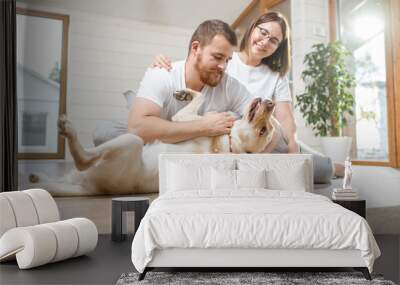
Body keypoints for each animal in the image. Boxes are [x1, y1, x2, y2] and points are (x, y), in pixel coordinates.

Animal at [37, 89, 280, 195]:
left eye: (263, 130)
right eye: (268, 128)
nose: (271, 103)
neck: (229, 144)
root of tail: (91, 187)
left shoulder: (183, 119)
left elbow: (199, 100)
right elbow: (200, 96)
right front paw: (184, 93)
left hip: (131, 142)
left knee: (84, 159)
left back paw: (68, 130)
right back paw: (39, 178)